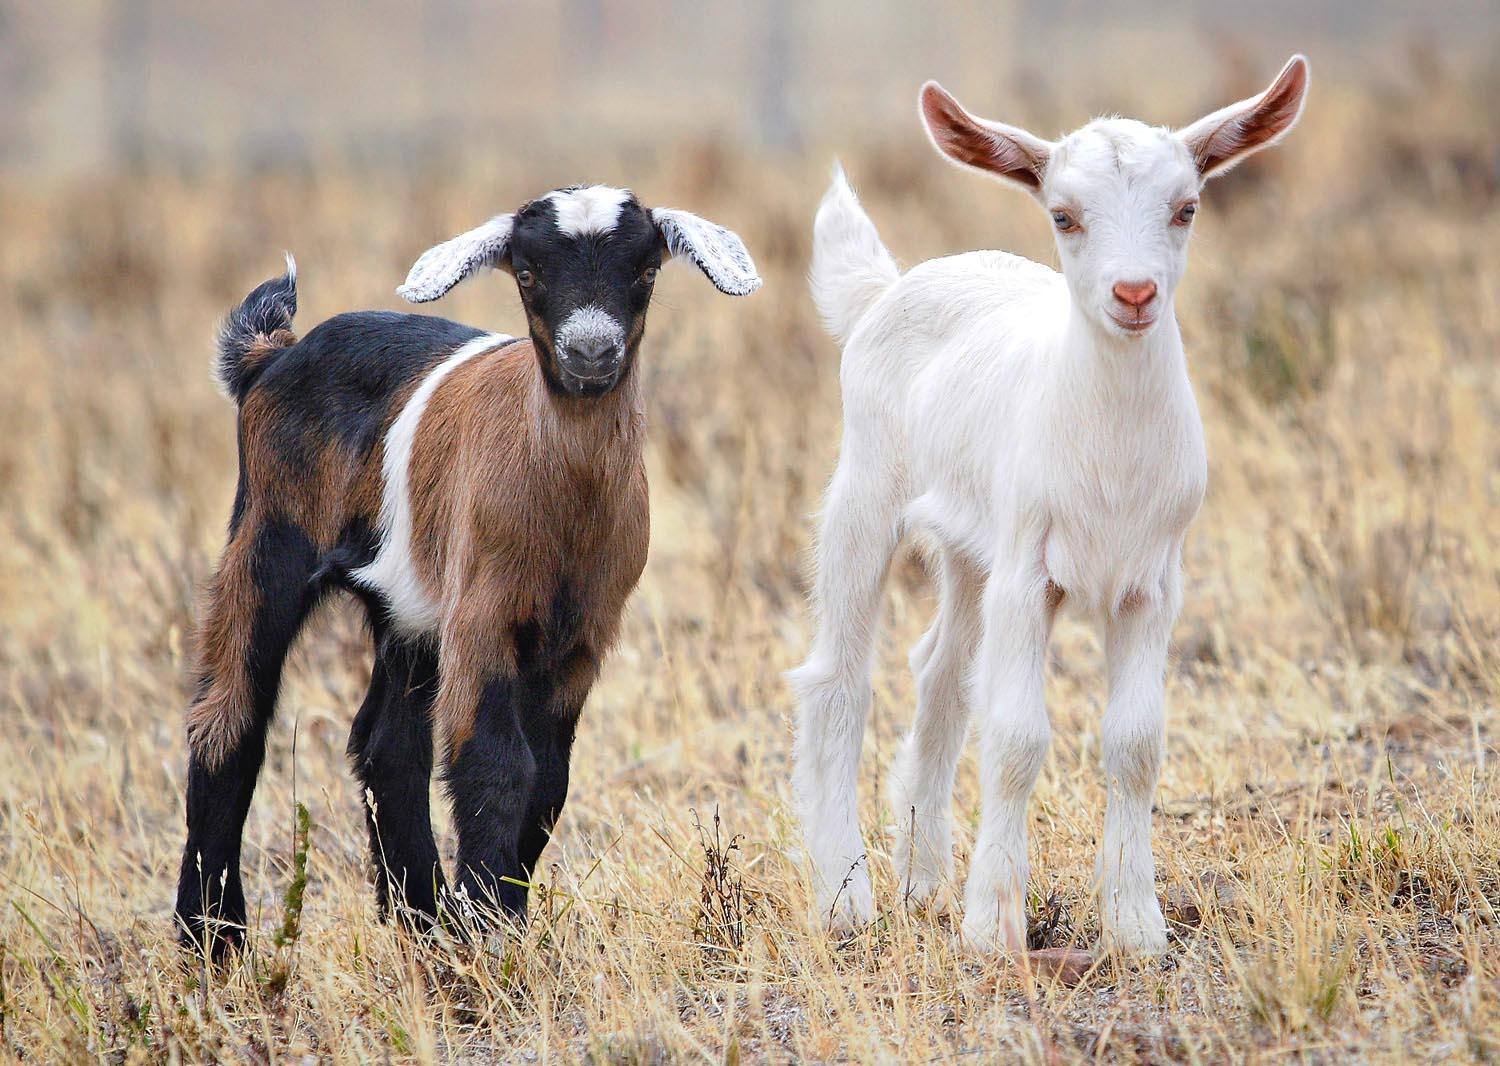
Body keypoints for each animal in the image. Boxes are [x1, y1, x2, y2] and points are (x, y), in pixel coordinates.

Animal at [176, 185, 760, 955]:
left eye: (645, 271)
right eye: (528, 273)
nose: (591, 352)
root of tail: (273, 358)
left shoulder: (583, 635)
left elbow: (548, 780)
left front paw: (490, 918)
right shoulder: (483, 613)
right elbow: (495, 763)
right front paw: (490, 930)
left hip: (409, 608)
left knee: (387, 746)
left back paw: (419, 919)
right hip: (268, 537)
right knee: (228, 721)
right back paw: (213, 938)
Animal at [790, 57, 1309, 956]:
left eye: (1187, 207)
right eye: (1064, 215)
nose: (1133, 292)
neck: (1110, 454)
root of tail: (884, 290)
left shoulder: (1150, 583)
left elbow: (1136, 743)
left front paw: (1135, 924)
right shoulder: (1030, 572)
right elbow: (1017, 738)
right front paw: (993, 926)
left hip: (971, 551)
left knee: (939, 674)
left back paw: (922, 881)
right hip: (866, 492)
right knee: (838, 683)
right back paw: (846, 898)